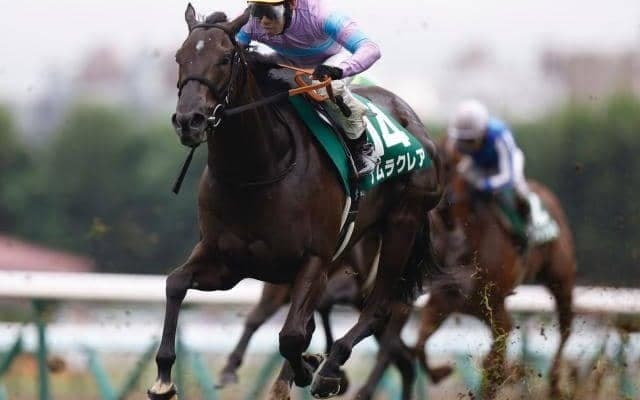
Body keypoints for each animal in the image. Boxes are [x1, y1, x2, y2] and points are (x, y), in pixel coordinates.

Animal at [147, 5, 443, 399]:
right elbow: (175, 284)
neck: (257, 172)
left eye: (225, 58)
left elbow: (291, 336)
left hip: (402, 223)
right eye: (180, 57)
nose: (188, 121)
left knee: (378, 308)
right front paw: (164, 377)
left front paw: (311, 369)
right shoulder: (226, 262)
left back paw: (331, 368)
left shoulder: (314, 261)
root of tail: (417, 124)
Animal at [414, 145, 576, 399]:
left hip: (561, 279)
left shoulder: (496, 308)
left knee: (566, 328)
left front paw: (503, 375)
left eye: (447, 166)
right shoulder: (443, 301)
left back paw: (554, 385)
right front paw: (441, 372)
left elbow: (494, 364)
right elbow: (419, 345)